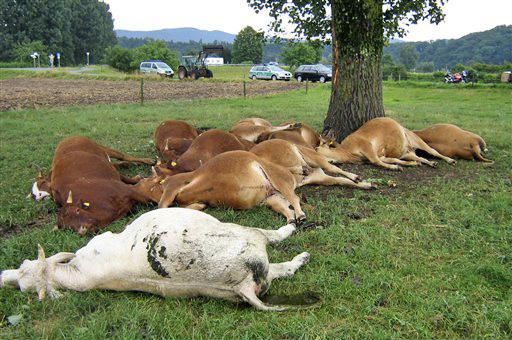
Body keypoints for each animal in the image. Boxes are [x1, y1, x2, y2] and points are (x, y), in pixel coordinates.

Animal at [0, 207, 310, 310]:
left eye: (23, 266)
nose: (4, 276)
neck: (78, 274)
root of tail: (243, 285)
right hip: (246, 235)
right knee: (275, 244)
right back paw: (297, 242)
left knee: (279, 264)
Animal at [32, 135, 160, 234]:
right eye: (68, 228)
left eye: (77, 211)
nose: (82, 230)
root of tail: (67, 139)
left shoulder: (126, 189)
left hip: (103, 149)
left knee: (124, 157)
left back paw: (148, 162)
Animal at [158, 151, 306, 223]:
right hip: (271, 198)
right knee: (287, 208)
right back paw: (292, 219)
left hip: (277, 179)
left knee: (294, 198)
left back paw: (301, 215)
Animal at [316, 117, 456, 171]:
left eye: (316, 148)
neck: (346, 151)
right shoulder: (380, 155)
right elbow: (392, 160)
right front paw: (410, 164)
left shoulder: (367, 146)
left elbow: (376, 161)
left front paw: (395, 167)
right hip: (407, 152)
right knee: (419, 157)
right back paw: (430, 163)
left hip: (416, 139)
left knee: (433, 151)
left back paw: (450, 160)